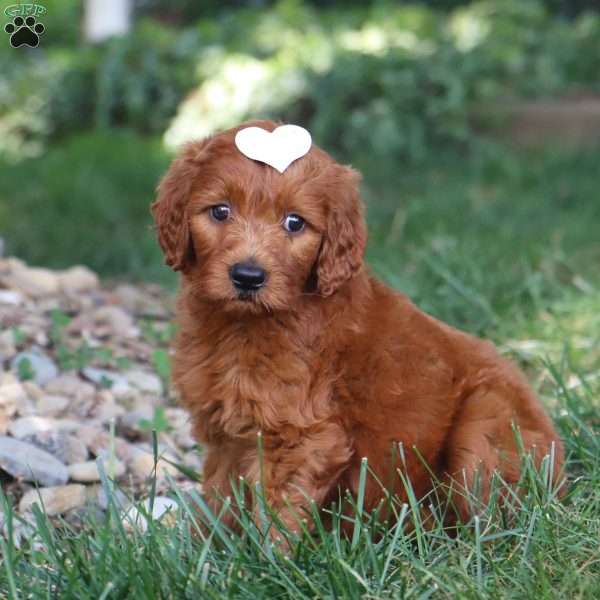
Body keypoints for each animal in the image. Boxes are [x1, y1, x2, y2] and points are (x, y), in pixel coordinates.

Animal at [150, 119, 564, 532]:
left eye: (294, 222)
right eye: (220, 211)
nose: (248, 277)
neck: (240, 326)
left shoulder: (303, 437)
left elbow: (277, 516)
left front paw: (264, 551)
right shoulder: (224, 435)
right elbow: (220, 500)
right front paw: (210, 545)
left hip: (484, 429)